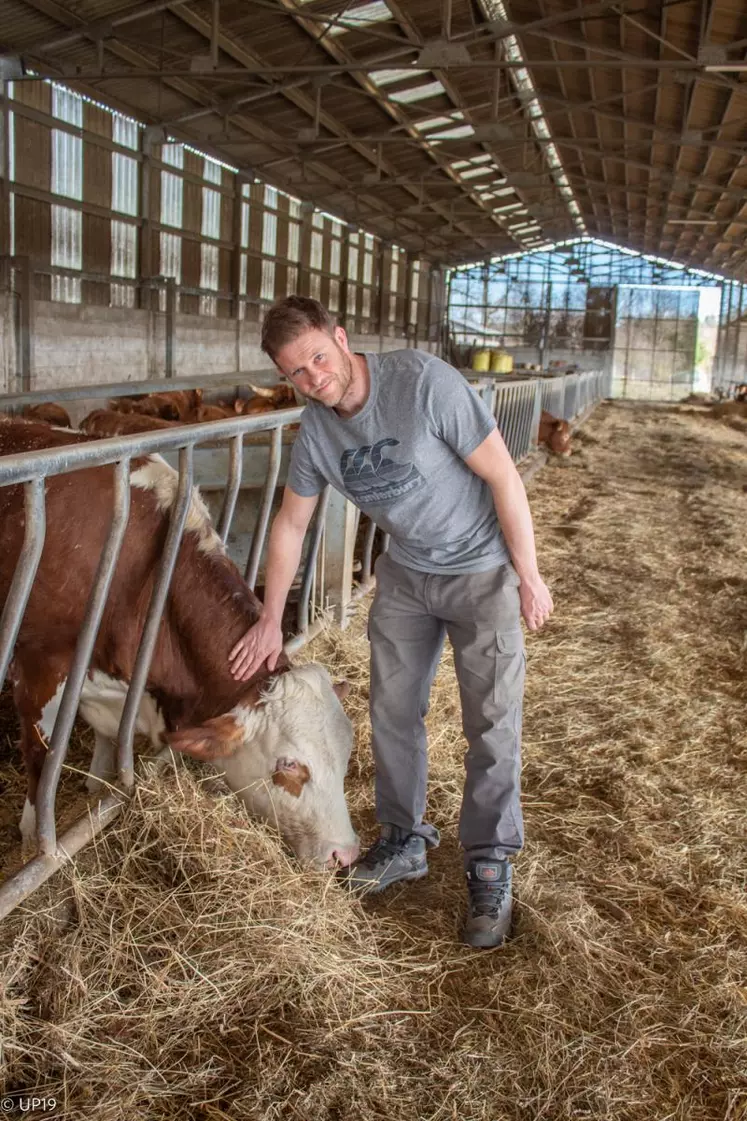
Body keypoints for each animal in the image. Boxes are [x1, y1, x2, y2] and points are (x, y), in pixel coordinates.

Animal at [0, 421, 358, 865]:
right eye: (289, 764)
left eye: (346, 752)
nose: (346, 854)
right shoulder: (40, 665)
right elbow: (41, 757)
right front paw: (32, 841)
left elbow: (107, 739)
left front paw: (96, 788)